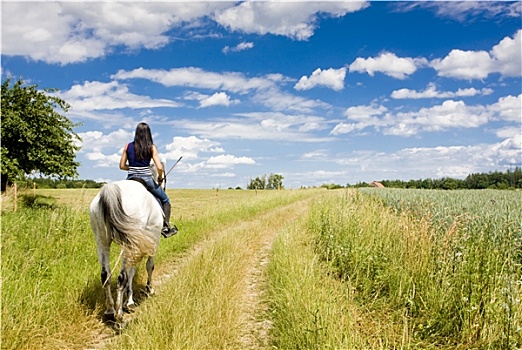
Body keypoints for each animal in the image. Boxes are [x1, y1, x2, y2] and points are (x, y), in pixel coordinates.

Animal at [89, 179, 162, 324]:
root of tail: (111, 189)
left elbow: (131, 272)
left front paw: (129, 301)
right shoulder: (153, 243)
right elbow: (150, 266)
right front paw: (149, 289)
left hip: (102, 241)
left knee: (105, 275)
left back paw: (110, 310)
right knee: (121, 277)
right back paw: (119, 316)